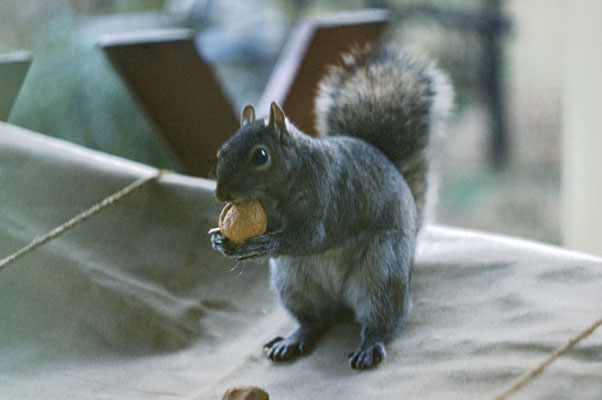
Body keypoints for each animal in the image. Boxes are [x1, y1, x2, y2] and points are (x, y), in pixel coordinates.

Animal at [209, 45, 448, 370]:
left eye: (260, 156)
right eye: (222, 150)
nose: (221, 194)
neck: (280, 193)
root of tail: (341, 299)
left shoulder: (330, 199)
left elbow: (312, 238)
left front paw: (265, 245)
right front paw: (220, 241)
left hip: (382, 273)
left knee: (383, 319)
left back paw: (370, 344)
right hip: (294, 283)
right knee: (314, 321)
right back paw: (293, 339)